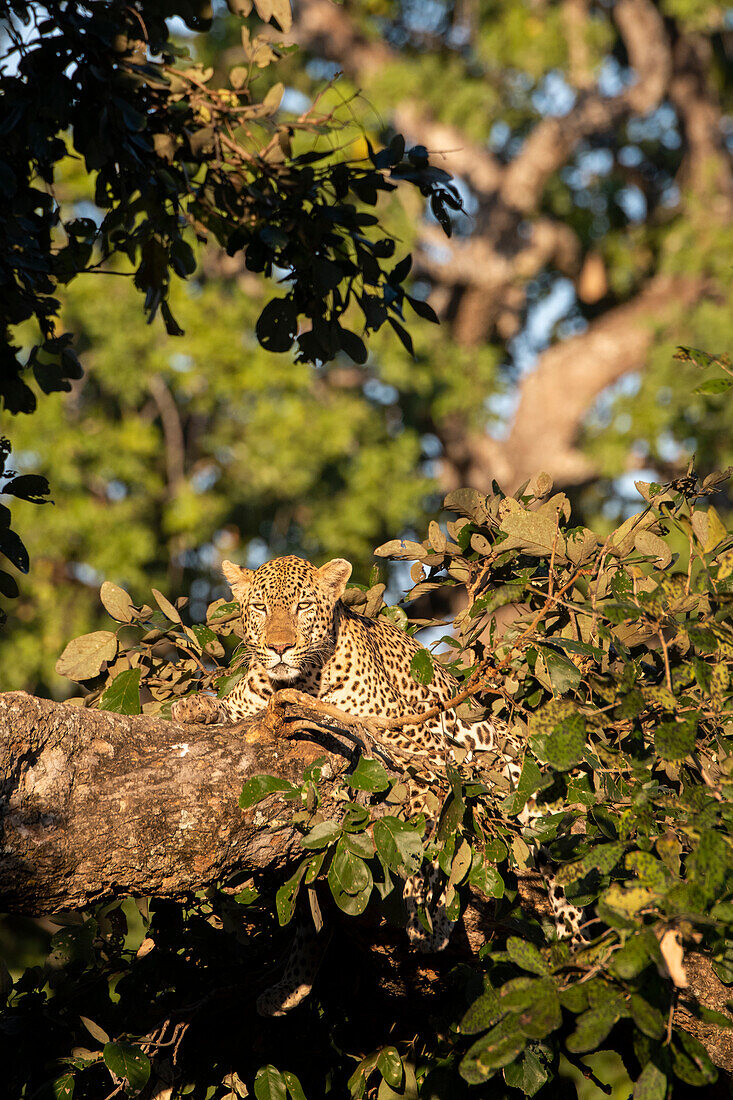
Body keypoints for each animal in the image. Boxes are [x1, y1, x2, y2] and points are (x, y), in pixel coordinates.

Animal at [171, 558, 581, 1012]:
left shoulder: (423, 749)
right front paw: (192, 706)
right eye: (260, 607)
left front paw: (429, 921)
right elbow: (227, 708)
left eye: (302, 607)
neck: (299, 682)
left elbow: (426, 832)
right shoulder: (254, 706)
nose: (279, 647)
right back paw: (289, 987)